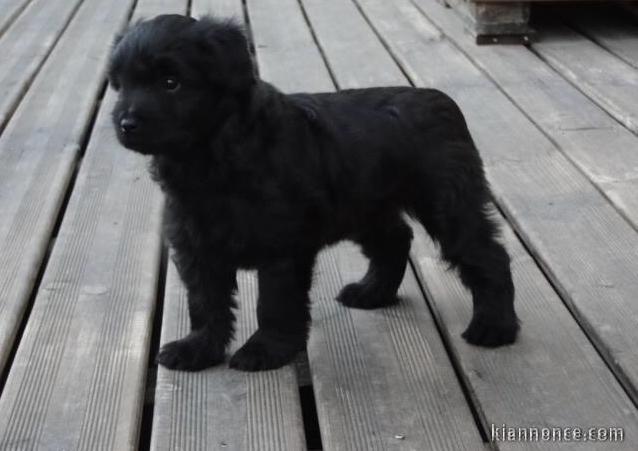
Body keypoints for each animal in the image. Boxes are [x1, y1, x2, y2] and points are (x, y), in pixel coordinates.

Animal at [109, 15, 520, 372]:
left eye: (171, 82)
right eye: (122, 83)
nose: (126, 123)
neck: (212, 154)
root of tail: (442, 101)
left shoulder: (282, 249)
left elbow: (275, 303)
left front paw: (265, 350)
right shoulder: (197, 246)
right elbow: (205, 301)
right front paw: (198, 348)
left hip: (448, 204)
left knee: (488, 256)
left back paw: (494, 326)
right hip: (366, 209)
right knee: (395, 239)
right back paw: (372, 292)